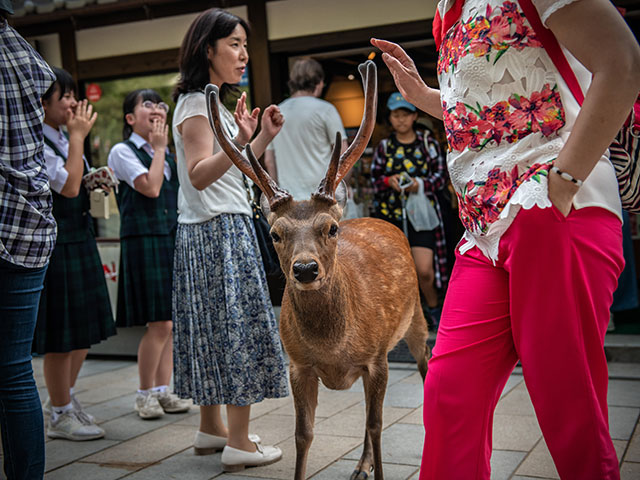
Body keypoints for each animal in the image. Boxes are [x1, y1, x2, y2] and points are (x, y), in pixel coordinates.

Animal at [208, 61, 430, 480]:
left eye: (331, 228)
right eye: (275, 233)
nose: (306, 269)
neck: (333, 347)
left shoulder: (378, 358)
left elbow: (377, 425)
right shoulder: (298, 365)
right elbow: (304, 434)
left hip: (416, 321)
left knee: (424, 368)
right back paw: (359, 466)